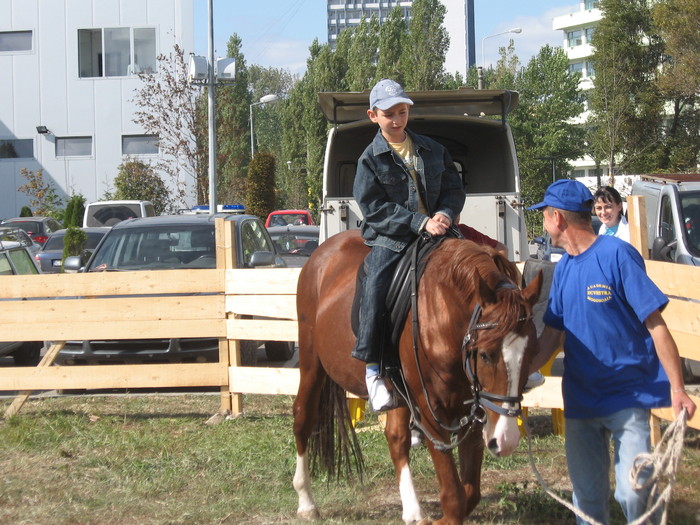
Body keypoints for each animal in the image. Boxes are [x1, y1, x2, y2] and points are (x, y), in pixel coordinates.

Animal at [290, 230, 540, 524]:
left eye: (532, 353)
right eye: (486, 355)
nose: (506, 441)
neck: (444, 316)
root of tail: (320, 255)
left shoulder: (475, 408)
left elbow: (470, 493)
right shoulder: (430, 408)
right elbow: (454, 498)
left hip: (397, 391)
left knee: (396, 438)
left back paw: (412, 510)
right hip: (311, 363)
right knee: (303, 418)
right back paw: (306, 501)